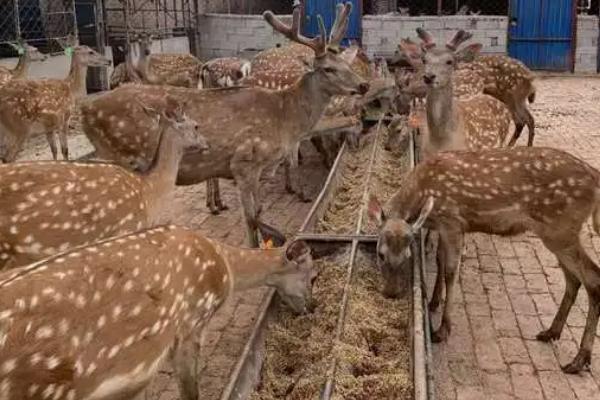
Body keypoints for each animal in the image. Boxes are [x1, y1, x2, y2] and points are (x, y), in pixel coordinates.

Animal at [81, 2, 368, 247]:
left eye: (345, 63)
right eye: (328, 69)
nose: (363, 85)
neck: (285, 119)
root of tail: (85, 110)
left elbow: (258, 212)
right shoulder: (243, 162)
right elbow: (250, 219)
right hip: (119, 157)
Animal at [366, 147, 600, 376]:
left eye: (408, 255)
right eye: (381, 253)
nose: (391, 292)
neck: (422, 192)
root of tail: (594, 177)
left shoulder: (452, 222)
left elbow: (451, 271)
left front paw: (442, 329)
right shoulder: (443, 227)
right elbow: (440, 261)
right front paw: (433, 302)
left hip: (560, 228)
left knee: (592, 277)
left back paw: (579, 359)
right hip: (557, 234)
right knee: (574, 279)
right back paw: (551, 331)